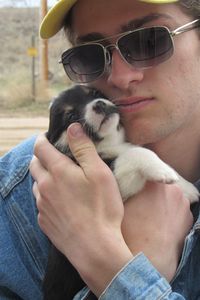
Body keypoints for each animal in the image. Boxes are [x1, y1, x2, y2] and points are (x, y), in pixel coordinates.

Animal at [43, 84, 198, 300]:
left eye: (95, 93)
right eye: (71, 116)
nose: (99, 104)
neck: (110, 145)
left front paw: (188, 188)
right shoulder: (114, 180)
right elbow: (138, 152)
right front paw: (164, 172)